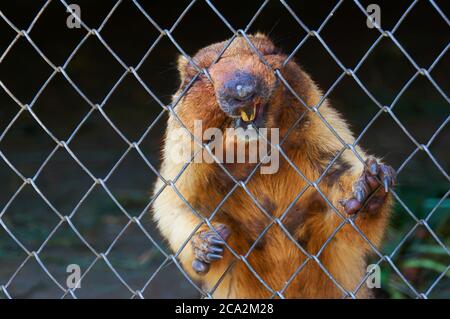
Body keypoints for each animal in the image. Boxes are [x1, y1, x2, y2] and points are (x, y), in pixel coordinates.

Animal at [153, 33, 396, 298]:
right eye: (202, 73)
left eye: (267, 53)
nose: (243, 90)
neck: (255, 152)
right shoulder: (182, 151)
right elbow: (172, 202)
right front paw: (206, 243)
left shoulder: (322, 126)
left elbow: (340, 182)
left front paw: (370, 185)